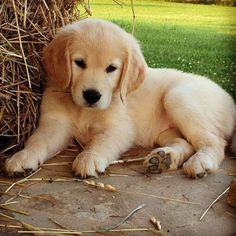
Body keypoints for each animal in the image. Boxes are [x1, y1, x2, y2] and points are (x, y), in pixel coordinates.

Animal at [5, 18, 236, 178]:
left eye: (111, 68)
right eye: (79, 62)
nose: (92, 95)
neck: (84, 110)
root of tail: (230, 99)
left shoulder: (119, 128)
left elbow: (100, 141)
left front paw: (89, 158)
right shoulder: (55, 123)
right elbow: (37, 140)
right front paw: (23, 157)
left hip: (178, 96)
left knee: (215, 142)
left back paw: (201, 162)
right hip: (165, 130)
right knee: (185, 142)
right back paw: (163, 159)